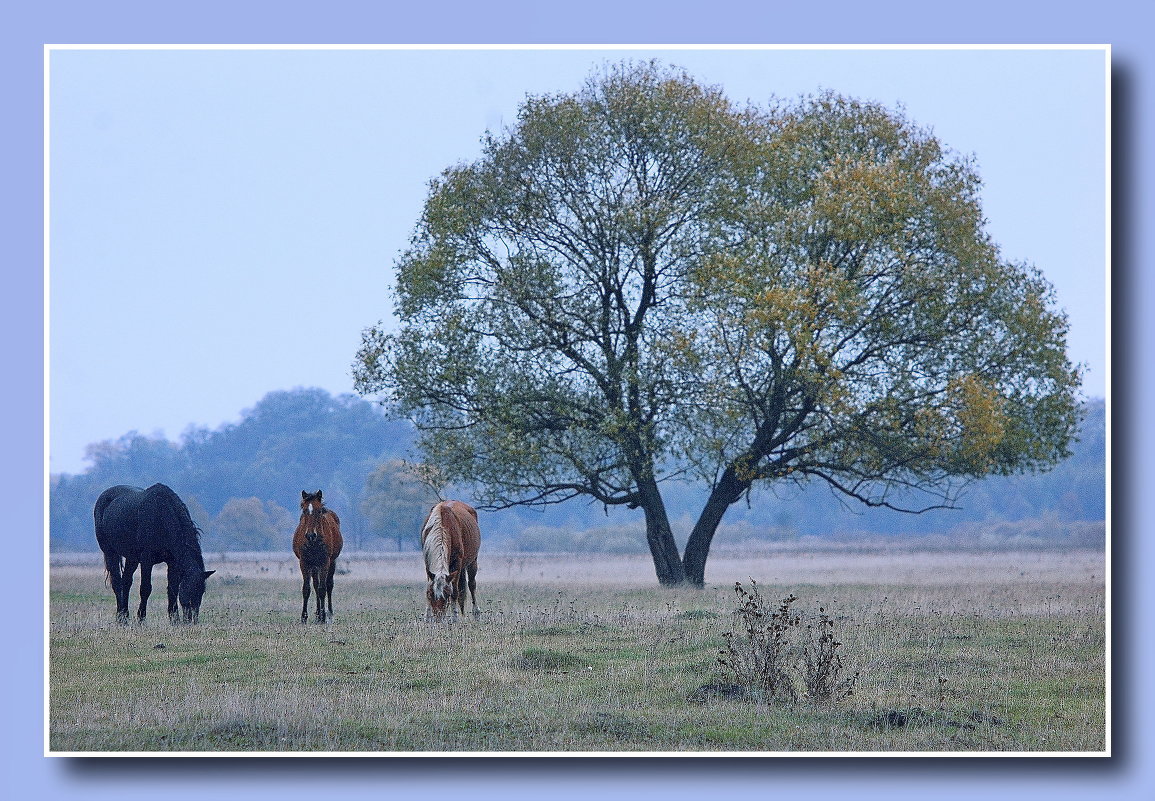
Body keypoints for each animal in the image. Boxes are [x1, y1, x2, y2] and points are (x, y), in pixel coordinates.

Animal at [93, 482, 215, 627]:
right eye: (189, 590)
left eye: (202, 592)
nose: (192, 620)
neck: (161, 516)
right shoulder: (147, 560)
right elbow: (145, 589)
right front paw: (141, 618)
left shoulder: (173, 563)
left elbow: (172, 589)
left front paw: (174, 619)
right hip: (110, 552)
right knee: (117, 583)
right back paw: (121, 617)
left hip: (132, 558)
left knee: (126, 582)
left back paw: (125, 615)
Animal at [291, 489, 339, 627]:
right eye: (304, 510)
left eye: (318, 511)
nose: (310, 535)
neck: (314, 542)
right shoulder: (304, 563)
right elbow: (307, 589)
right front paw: (304, 618)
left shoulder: (324, 562)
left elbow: (323, 589)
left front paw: (323, 617)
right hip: (313, 566)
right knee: (316, 585)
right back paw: (317, 615)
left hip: (331, 562)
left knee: (328, 585)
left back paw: (328, 614)